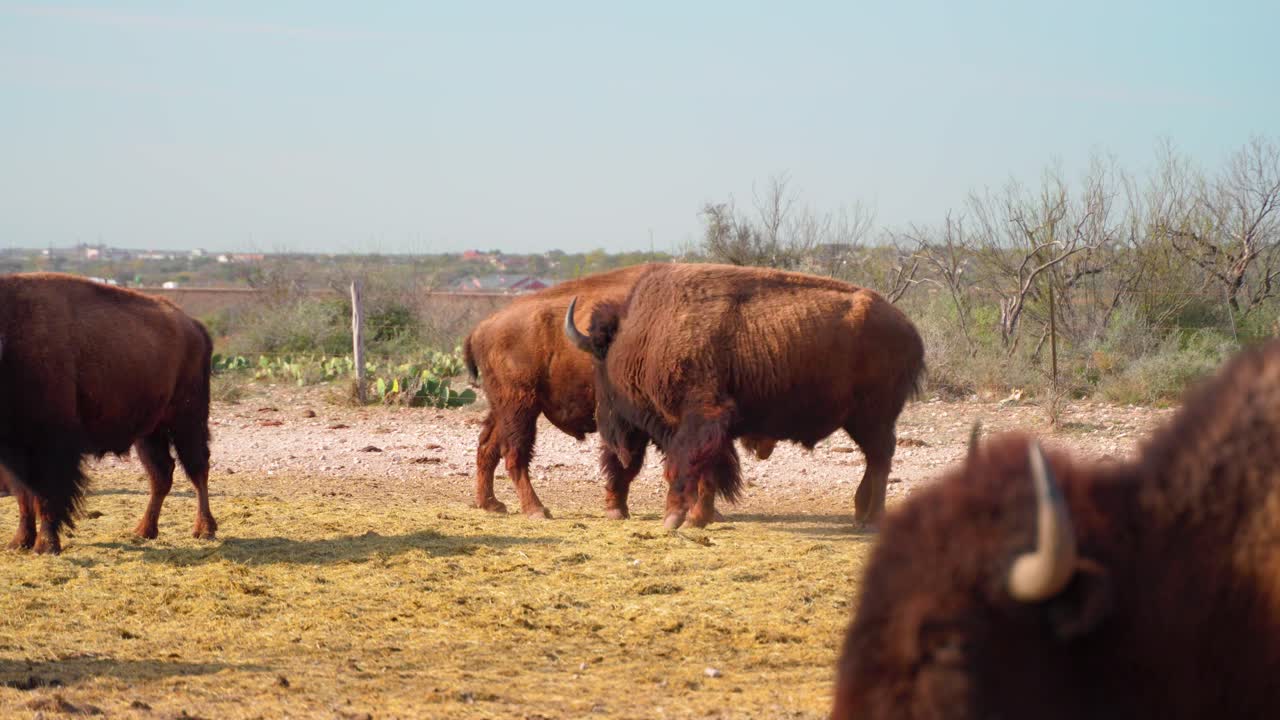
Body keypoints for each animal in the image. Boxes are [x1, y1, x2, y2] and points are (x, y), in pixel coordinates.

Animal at [0, 273, 216, 554]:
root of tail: (195, 326)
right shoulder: (14, 452)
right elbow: (24, 497)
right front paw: (19, 542)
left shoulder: (49, 447)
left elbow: (45, 497)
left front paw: (46, 545)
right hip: (150, 431)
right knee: (162, 473)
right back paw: (144, 531)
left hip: (187, 421)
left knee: (197, 468)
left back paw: (204, 529)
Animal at [463, 264, 776, 520]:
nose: (766, 445)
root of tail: (482, 327)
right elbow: (634, 463)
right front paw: (620, 509)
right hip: (520, 406)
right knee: (515, 454)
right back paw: (536, 510)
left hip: (504, 408)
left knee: (487, 446)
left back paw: (490, 504)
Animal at [565, 263, 925, 529]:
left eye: (598, 364)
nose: (603, 423)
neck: (645, 334)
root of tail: (909, 328)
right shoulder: (713, 430)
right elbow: (708, 471)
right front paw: (698, 519)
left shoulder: (699, 419)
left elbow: (684, 467)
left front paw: (674, 518)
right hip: (861, 421)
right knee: (874, 460)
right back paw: (861, 514)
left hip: (873, 418)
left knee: (880, 459)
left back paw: (873, 519)